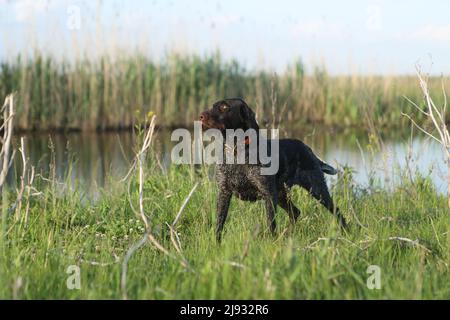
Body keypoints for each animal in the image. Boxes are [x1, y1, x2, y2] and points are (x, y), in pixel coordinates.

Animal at [200, 98, 348, 242]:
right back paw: (288, 234)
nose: (201, 116)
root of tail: (307, 148)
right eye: (213, 106)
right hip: (282, 195)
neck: (237, 153)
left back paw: (346, 232)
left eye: (224, 107)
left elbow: (271, 226)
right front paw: (216, 244)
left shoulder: (268, 195)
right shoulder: (224, 193)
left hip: (317, 190)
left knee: (337, 212)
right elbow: (219, 224)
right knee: (295, 212)